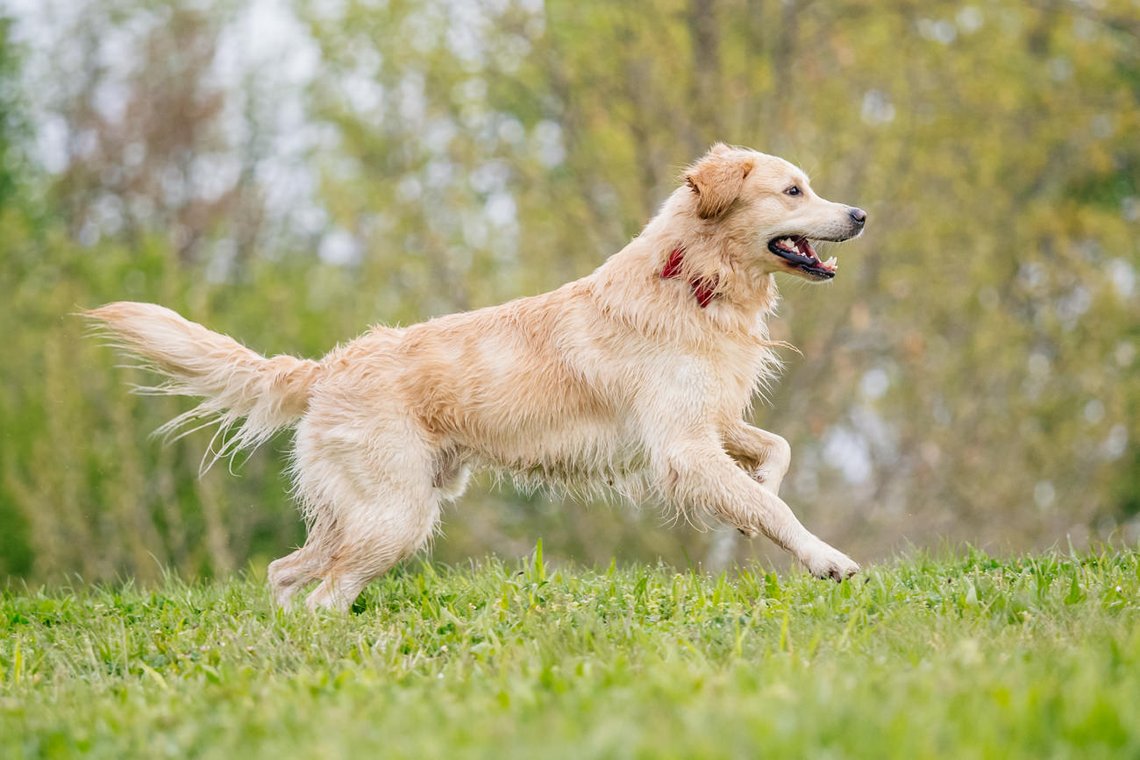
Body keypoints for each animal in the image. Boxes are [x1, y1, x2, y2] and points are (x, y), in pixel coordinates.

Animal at [86, 144, 861, 610]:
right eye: (794, 190)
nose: (859, 212)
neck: (695, 279)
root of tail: (327, 367)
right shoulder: (682, 446)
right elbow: (776, 512)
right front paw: (827, 559)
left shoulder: (713, 421)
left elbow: (776, 454)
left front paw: (765, 488)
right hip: (393, 518)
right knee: (324, 594)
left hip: (372, 514)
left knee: (287, 574)